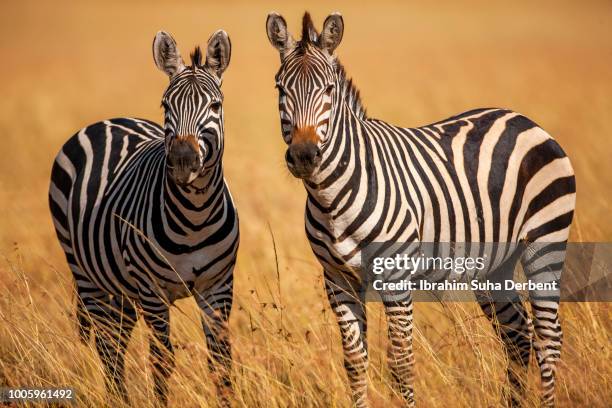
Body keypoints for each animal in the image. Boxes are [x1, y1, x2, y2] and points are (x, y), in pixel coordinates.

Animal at [47, 29, 238, 404]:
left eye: (215, 106)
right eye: (166, 106)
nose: (182, 160)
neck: (195, 216)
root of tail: (109, 119)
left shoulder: (218, 286)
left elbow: (221, 363)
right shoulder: (152, 290)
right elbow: (161, 361)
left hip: (120, 286)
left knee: (117, 340)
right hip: (85, 273)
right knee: (107, 345)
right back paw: (117, 399)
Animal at [266, 11, 572, 406]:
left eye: (330, 90)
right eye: (279, 89)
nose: (304, 155)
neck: (331, 198)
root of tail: (522, 119)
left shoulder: (395, 277)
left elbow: (401, 364)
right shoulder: (337, 280)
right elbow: (355, 362)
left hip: (545, 244)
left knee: (548, 339)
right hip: (494, 264)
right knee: (517, 336)